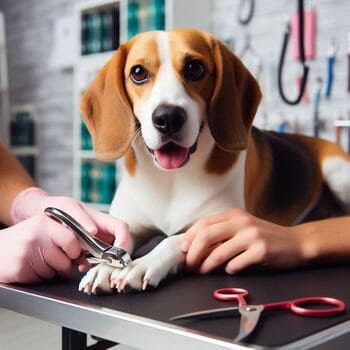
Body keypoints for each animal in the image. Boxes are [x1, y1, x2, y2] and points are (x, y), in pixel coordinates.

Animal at [78, 28, 350, 294]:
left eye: (195, 68)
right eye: (137, 73)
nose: (168, 117)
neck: (171, 179)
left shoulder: (223, 228)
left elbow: (174, 239)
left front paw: (144, 264)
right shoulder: (129, 226)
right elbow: (118, 243)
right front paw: (104, 268)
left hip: (337, 171)